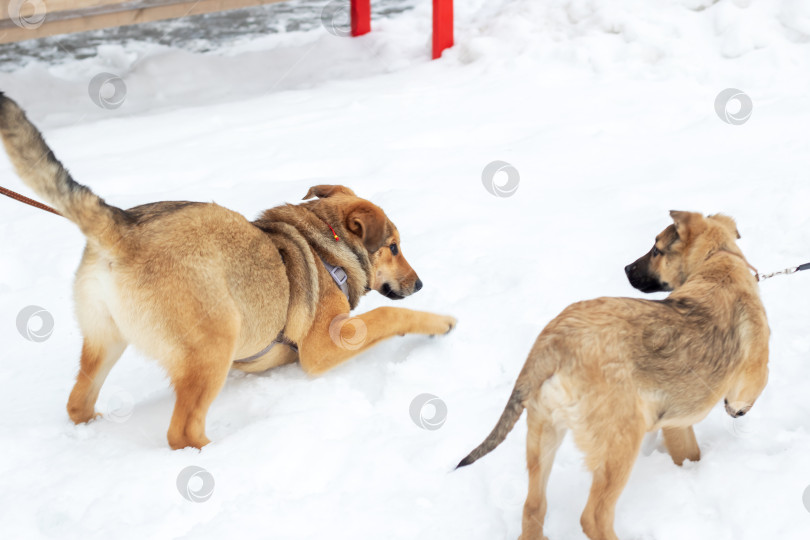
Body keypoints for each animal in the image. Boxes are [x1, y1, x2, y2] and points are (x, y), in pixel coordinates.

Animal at [0, 95, 454, 450]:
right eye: (394, 247)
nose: (419, 283)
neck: (327, 246)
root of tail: (122, 227)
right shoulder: (327, 344)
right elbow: (390, 315)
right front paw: (439, 322)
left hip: (104, 340)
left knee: (78, 404)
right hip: (216, 339)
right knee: (181, 433)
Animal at [458, 211, 768, 540]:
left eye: (656, 250)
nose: (626, 268)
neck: (717, 262)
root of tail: (554, 341)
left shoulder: (675, 420)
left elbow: (686, 450)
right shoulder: (743, 389)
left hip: (543, 434)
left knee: (533, 508)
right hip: (620, 443)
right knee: (593, 517)